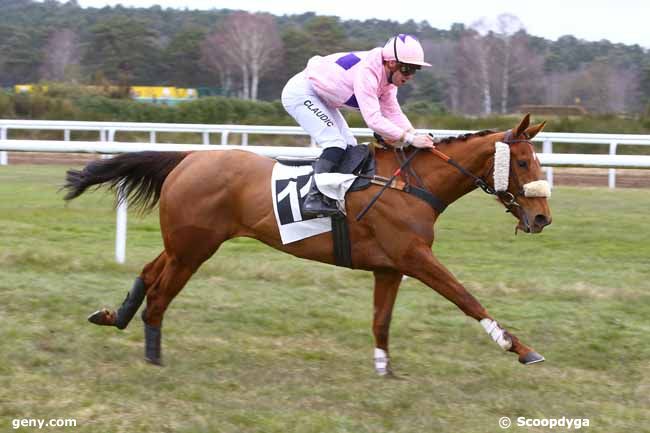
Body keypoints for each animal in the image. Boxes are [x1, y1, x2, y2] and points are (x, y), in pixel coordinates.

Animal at [64, 113, 552, 372]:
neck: (411, 184)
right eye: (523, 162)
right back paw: (153, 356)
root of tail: (187, 159)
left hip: (184, 243)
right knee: (160, 296)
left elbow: (381, 321)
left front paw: (383, 370)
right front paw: (519, 348)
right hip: (194, 249)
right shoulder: (414, 256)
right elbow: (466, 297)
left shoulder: (389, 266)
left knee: (149, 274)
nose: (542, 218)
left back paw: (113, 317)